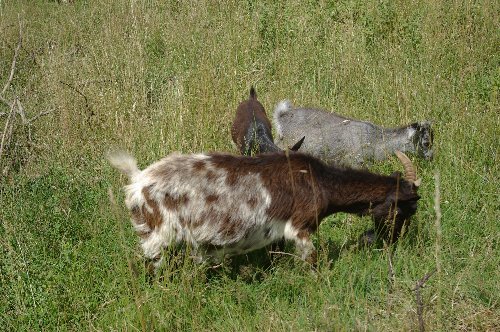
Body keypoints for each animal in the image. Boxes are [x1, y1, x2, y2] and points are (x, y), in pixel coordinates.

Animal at [107, 148, 420, 270]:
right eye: (405, 210)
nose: (395, 240)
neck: (319, 180)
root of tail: (138, 180)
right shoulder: (299, 226)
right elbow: (312, 260)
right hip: (156, 236)